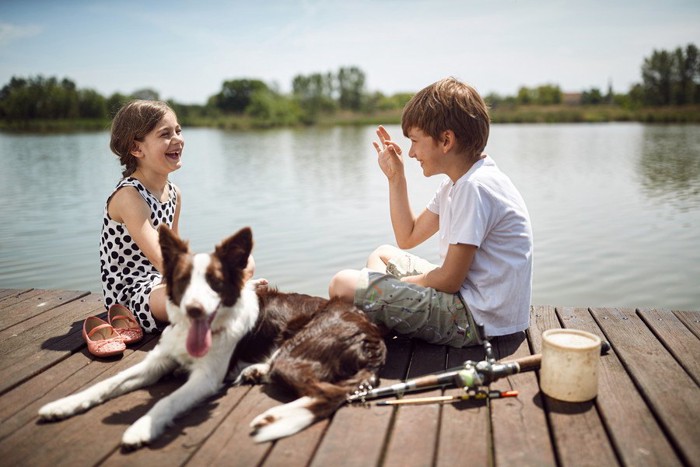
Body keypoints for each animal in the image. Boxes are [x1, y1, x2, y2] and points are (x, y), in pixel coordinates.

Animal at [38, 227, 386, 450]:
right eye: (182, 281)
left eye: (215, 283)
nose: (194, 309)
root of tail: (373, 333)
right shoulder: (156, 362)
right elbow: (105, 384)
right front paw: (63, 405)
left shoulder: (205, 379)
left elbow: (166, 400)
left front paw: (141, 428)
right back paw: (257, 376)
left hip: (298, 351)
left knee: (332, 394)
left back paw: (272, 415)